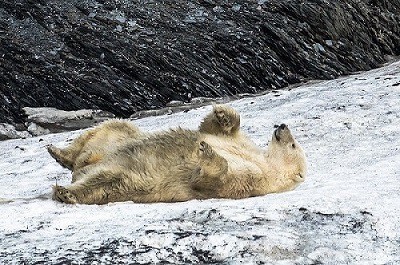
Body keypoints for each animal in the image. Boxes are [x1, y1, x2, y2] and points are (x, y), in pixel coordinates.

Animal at [49, 104, 306, 203]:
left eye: (294, 146)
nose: (283, 126)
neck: (266, 163)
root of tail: (81, 169)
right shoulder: (243, 145)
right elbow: (215, 130)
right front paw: (222, 114)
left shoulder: (253, 179)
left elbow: (213, 179)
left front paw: (206, 151)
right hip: (115, 141)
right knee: (113, 128)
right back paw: (59, 153)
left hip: (130, 181)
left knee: (102, 183)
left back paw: (66, 192)